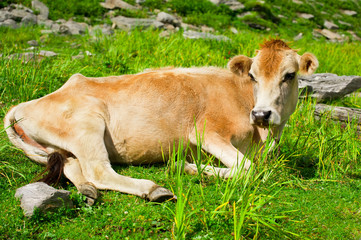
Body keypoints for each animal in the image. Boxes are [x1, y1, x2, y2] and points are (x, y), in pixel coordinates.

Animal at [3, 39, 318, 204]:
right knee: (98, 170)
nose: (261, 114)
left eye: (289, 75)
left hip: (56, 146)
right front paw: (187, 167)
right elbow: (250, 170)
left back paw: (87, 191)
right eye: (252, 75)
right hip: (87, 123)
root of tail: (28, 103)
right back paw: (153, 189)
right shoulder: (207, 132)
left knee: (72, 165)